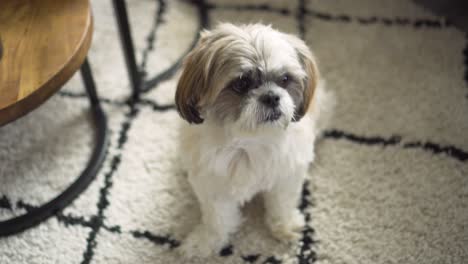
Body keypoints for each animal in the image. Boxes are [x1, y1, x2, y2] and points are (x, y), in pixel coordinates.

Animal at [175, 22, 332, 258]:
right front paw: (206, 242)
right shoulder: (212, 185)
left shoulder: (286, 176)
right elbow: (217, 221)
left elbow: (282, 204)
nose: (272, 96)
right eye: (241, 83)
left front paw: (284, 227)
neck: (250, 141)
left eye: (285, 80)